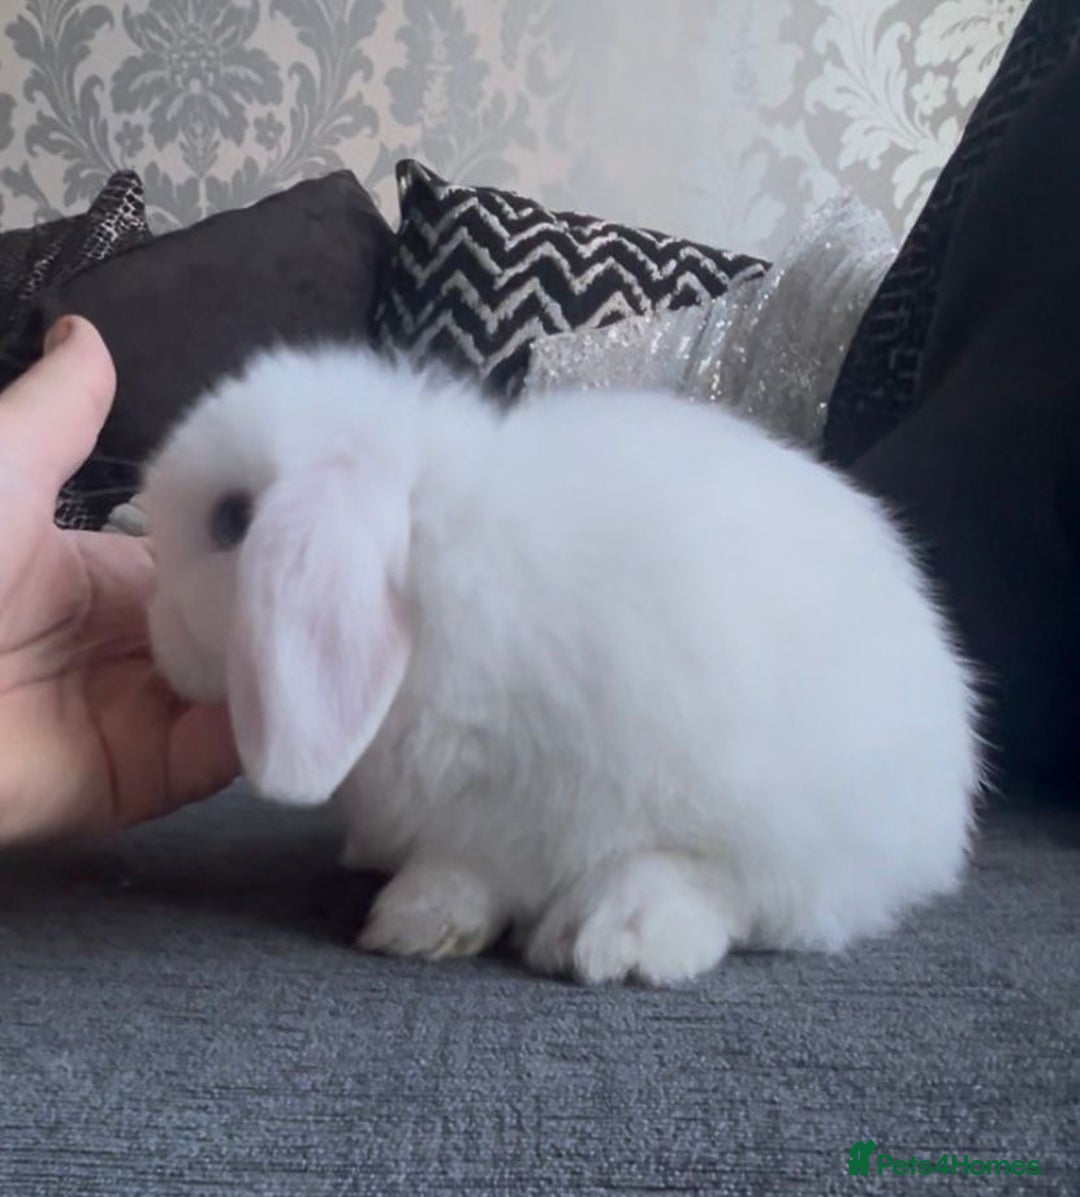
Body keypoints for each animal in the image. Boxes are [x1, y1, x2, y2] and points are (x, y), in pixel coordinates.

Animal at [142, 344, 981, 986]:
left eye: (231, 521)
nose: (155, 629)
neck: (433, 556)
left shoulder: (511, 803)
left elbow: (477, 864)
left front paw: (411, 920)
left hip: (772, 810)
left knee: (722, 882)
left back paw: (612, 939)